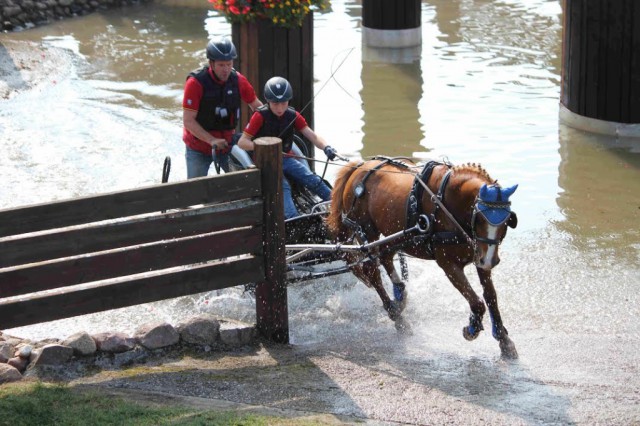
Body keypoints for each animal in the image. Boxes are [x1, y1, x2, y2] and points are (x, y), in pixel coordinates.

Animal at [324, 158, 520, 358]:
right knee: (372, 271)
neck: (448, 203)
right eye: (479, 218)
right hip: (365, 230)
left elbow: (491, 297)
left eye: (507, 221)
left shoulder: (479, 257)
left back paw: (399, 295)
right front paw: (472, 328)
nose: (490, 260)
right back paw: (397, 317)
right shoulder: (448, 264)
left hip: (395, 235)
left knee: (386, 256)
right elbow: (477, 302)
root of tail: (359, 166)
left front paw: (504, 340)